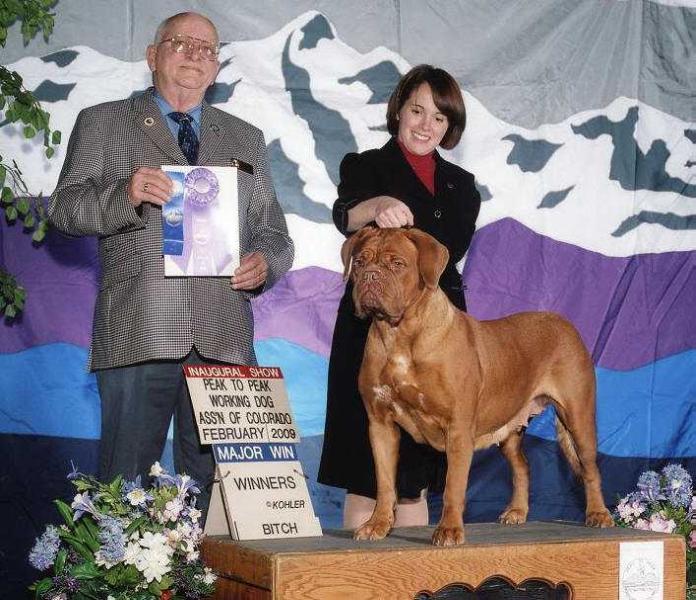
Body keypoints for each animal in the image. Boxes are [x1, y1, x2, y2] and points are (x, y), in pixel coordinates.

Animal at [346, 227, 612, 548]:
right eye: (359, 262)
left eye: (397, 264)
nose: (369, 276)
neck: (399, 335)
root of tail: (565, 323)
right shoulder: (380, 424)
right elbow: (384, 482)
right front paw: (378, 524)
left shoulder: (458, 427)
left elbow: (454, 485)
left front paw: (449, 530)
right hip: (510, 427)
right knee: (522, 465)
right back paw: (517, 512)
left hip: (578, 416)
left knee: (590, 468)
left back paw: (598, 514)